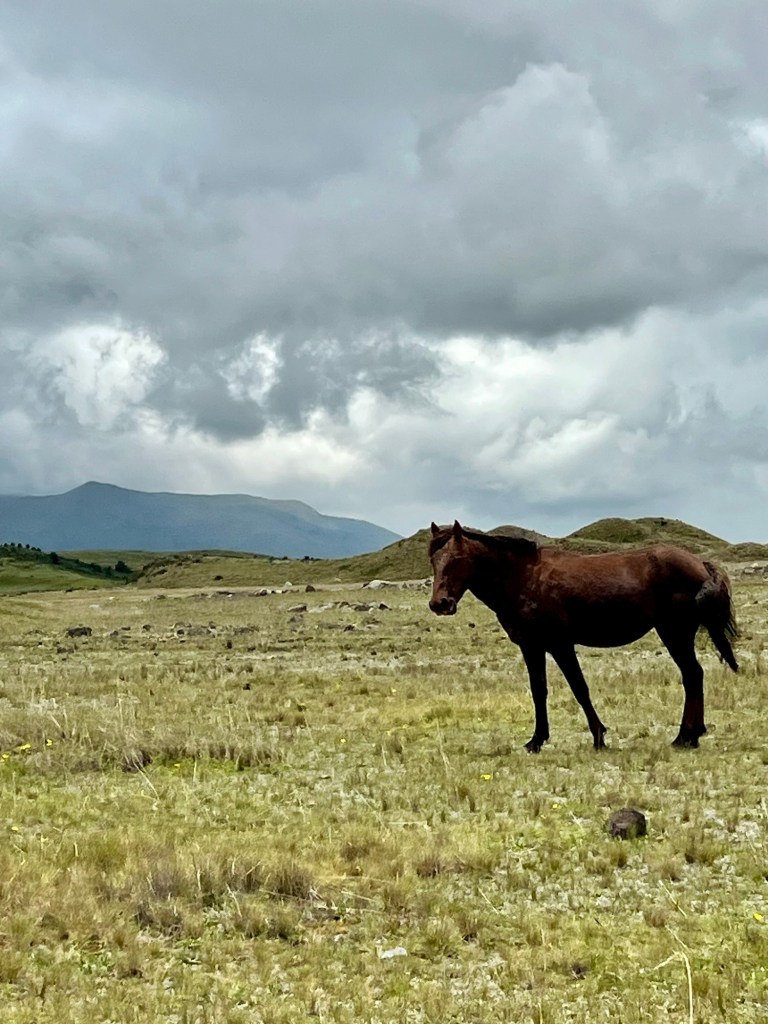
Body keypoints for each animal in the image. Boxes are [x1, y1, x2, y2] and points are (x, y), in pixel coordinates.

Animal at [428, 521, 738, 752]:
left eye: (457, 559)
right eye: (433, 560)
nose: (439, 604)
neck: (523, 578)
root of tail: (700, 563)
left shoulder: (560, 645)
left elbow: (579, 688)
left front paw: (598, 737)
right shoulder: (532, 647)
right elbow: (539, 690)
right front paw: (537, 740)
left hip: (674, 633)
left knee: (692, 675)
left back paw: (685, 737)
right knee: (693, 675)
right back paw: (692, 735)